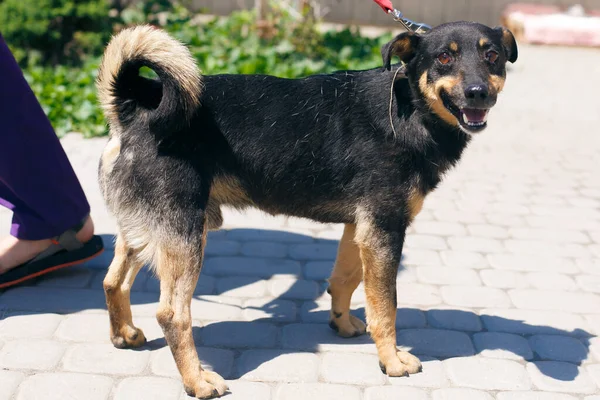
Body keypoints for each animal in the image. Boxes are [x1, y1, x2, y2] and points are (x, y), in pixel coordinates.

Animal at [97, 21, 516, 396]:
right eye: (445, 57)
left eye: (492, 56)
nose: (478, 93)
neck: (408, 108)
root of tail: (134, 108)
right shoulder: (384, 227)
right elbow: (386, 306)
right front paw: (392, 360)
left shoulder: (360, 227)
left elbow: (345, 280)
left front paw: (342, 324)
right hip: (185, 235)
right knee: (171, 314)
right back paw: (197, 381)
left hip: (147, 229)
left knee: (113, 280)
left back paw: (124, 335)